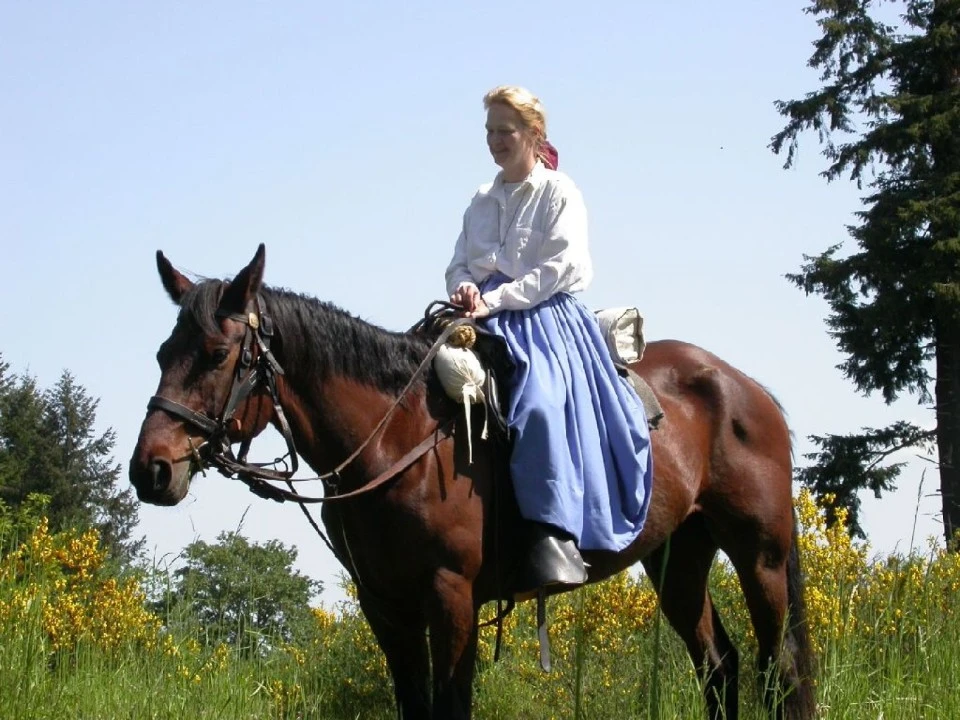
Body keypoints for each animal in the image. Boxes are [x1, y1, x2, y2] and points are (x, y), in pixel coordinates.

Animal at [129, 246, 816, 720]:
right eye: (162, 354)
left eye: (217, 355)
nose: (151, 469)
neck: (395, 439)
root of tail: (745, 387)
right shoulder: (387, 606)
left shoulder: (450, 597)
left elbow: (451, 706)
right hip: (680, 559)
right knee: (720, 668)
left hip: (760, 556)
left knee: (780, 670)